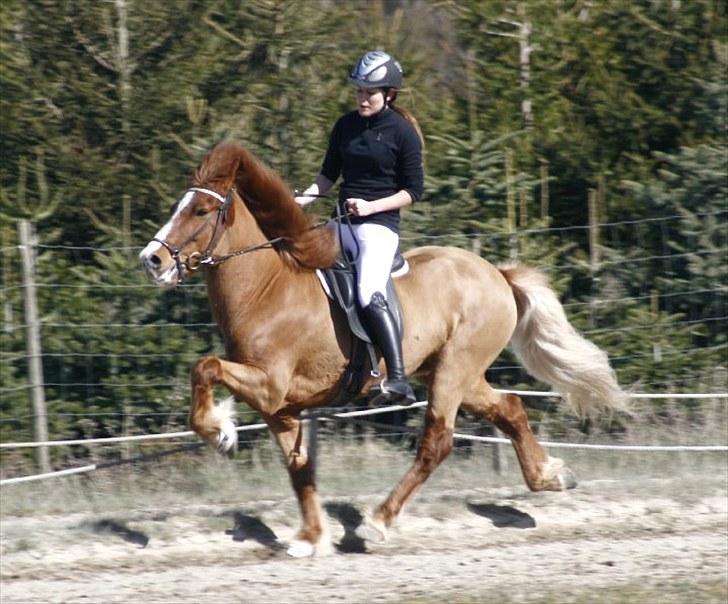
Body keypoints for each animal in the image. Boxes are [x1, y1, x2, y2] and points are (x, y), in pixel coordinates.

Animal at [139, 140, 628, 556]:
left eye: (201, 209)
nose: (152, 260)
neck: (267, 289)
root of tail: (497, 275)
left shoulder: (269, 385)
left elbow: (205, 367)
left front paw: (221, 432)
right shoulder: (280, 406)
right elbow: (300, 467)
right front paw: (311, 538)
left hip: (453, 371)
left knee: (438, 440)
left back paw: (380, 520)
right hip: (454, 372)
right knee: (509, 408)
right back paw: (551, 477)